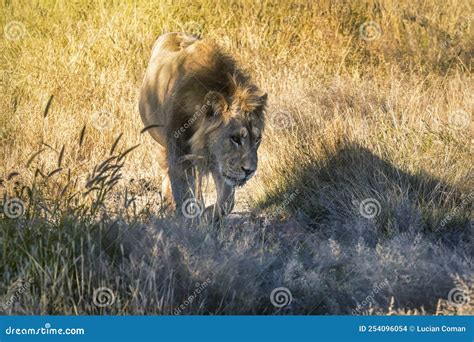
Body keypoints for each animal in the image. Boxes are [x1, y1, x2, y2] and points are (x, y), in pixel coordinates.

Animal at [139, 32, 268, 222]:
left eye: (257, 139)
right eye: (235, 138)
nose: (249, 171)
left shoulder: (220, 160)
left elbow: (227, 201)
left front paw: (206, 215)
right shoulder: (179, 155)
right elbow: (183, 192)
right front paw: (187, 221)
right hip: (160, 141)